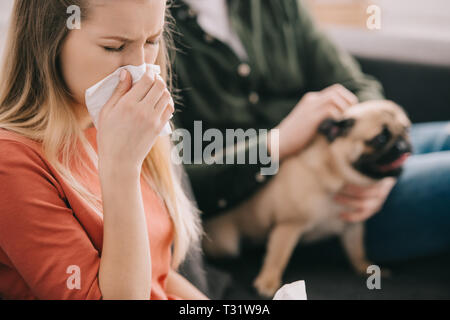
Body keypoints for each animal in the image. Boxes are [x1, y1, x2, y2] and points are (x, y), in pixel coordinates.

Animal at [202, 100, 414, 298]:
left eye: (406, 129)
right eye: (380, 139)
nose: (403, 144)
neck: (337, 176)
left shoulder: (352, 227)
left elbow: (357, 250)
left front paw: (364, 267)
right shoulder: (288, 225)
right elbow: (278, 257)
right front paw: (268, 282)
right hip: (227, 243)